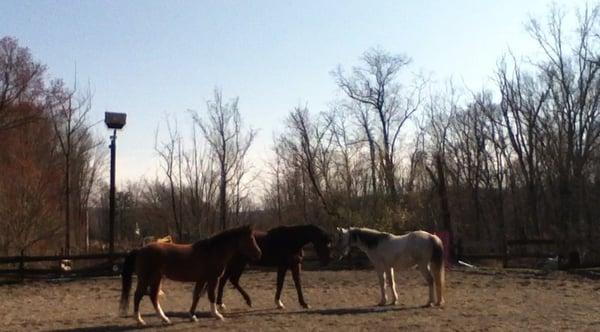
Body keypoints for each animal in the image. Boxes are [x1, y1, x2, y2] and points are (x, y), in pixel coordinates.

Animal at [120, 224, 262, 322]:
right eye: (250, 238)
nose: (259, 254)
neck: (212, 251)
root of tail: (140, 250)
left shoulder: (202, 280)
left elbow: (196, 296)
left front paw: (192, 316)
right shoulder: (212, 279)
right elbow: (211, 296)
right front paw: (217, 315)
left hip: (156, 278)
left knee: (153, 297)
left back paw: (164, 319)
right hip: (145, 279)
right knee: (138, 296)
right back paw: (140, 320)